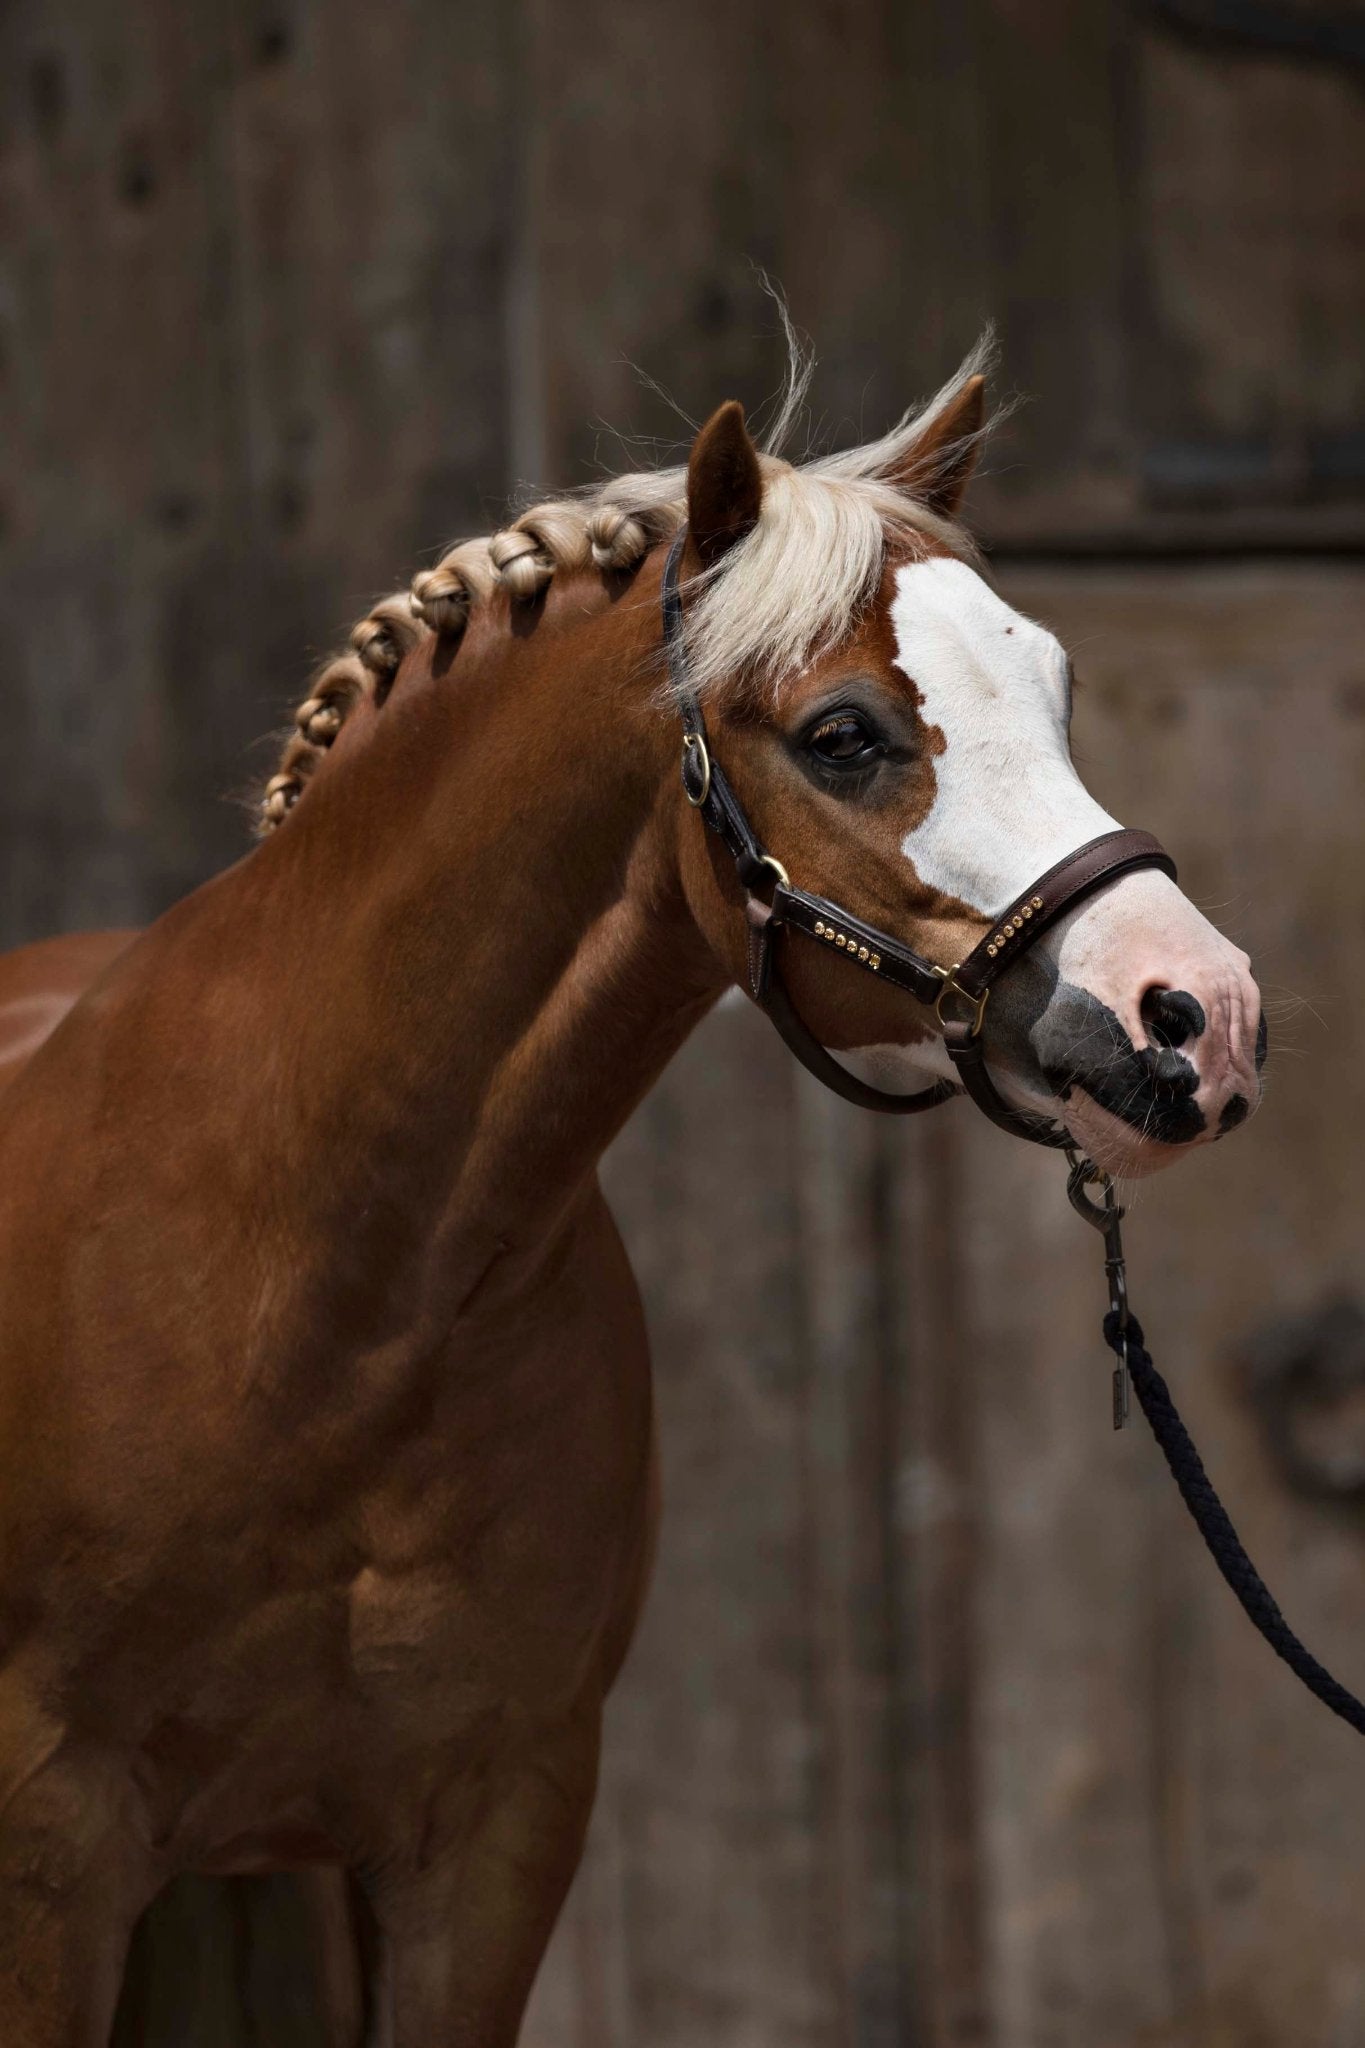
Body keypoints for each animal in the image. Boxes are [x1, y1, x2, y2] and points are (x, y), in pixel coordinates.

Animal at [0, 352, 1268, 2048]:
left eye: (1055, 688)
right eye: (845, 733)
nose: (1198, 1013)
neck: (329, 1291)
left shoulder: (492, 1828)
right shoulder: (55, 1840)